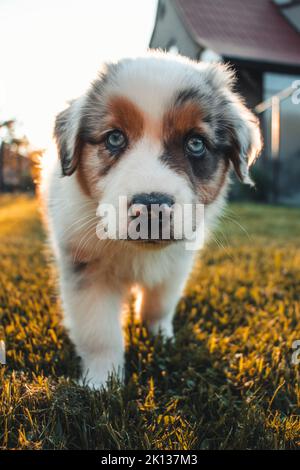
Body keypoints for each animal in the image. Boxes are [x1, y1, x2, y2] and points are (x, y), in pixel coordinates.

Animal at [43, 52, 262, 390]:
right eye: (114, 138)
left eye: (195, 143)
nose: (150, 207)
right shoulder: (85, 266)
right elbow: (99, 332)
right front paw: (101, 384)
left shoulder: (176, 263)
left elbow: (159, 305)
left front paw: (161, 340)